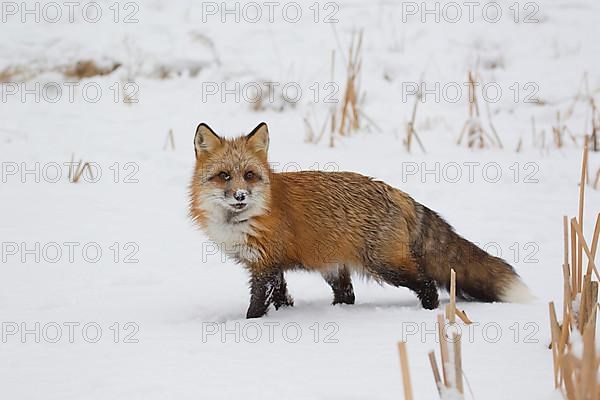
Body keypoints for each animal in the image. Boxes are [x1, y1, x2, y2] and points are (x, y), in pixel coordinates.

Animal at [190, 122, 532, 318]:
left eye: (249, 175)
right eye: (224, 176)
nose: (240, 196)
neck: (245, 219)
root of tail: (396, 192)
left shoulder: (264, 266)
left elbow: (257, 304)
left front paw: (251, 325)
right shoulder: (270, 265)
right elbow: (282, 297)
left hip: (385, 265)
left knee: (426, 283)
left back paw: (429, 313)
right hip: (334, 267)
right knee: (347, 296)